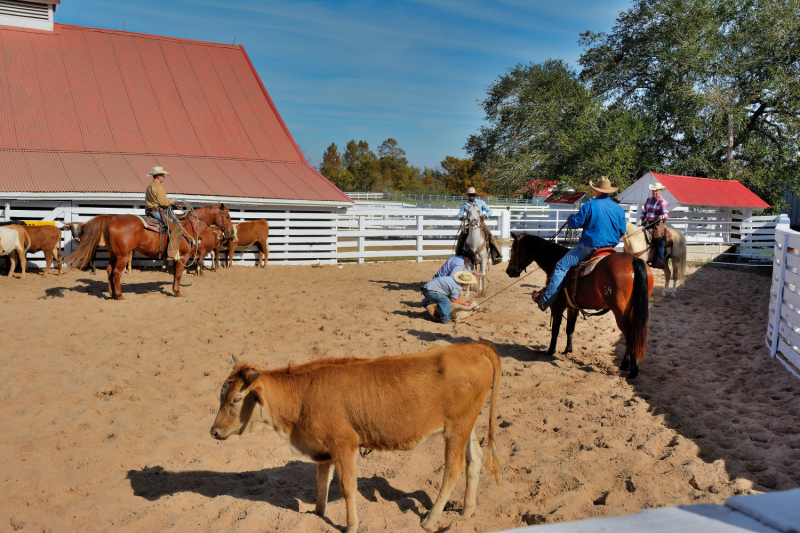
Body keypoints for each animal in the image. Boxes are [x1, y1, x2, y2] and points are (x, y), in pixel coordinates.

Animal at [67, 202, 233, 298]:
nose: (231, 232)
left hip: (114, 254)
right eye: (227, 216)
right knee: (116, 273)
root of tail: (112, 219)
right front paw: (178, 292)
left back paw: (112, 293)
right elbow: (179, 274)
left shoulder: (175, 257)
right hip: (122, 255)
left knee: (109, 271)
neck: (189, 225)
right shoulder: (183, 256)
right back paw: (119, 295)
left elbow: (175, 274)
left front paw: (173, 290)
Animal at [212, 340, 500, 532]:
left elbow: (348, 486)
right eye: (222, 395)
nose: (214, 431)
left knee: (453, 469)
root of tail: (472, 347)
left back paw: (431, 519)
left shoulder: (344, 444)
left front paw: (351, 525)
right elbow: (322, 482)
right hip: (466, 426)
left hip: (455, 429)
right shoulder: (323, 448)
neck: (305, 393)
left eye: (236, 399)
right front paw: (318, 512)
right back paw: (467, 510)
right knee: (474, 459)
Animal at [506, 233, 656, 378]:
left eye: (513, 249)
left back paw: (632, 369)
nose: (508, 271)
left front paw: (550, 351)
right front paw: (567, 350)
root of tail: (634, 261)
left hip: (621, 313)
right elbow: (570, 329)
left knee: (631, 335)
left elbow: (555, 330)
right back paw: (626, 365)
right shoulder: (572, 307)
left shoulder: (557, 306)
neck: (554, 261)